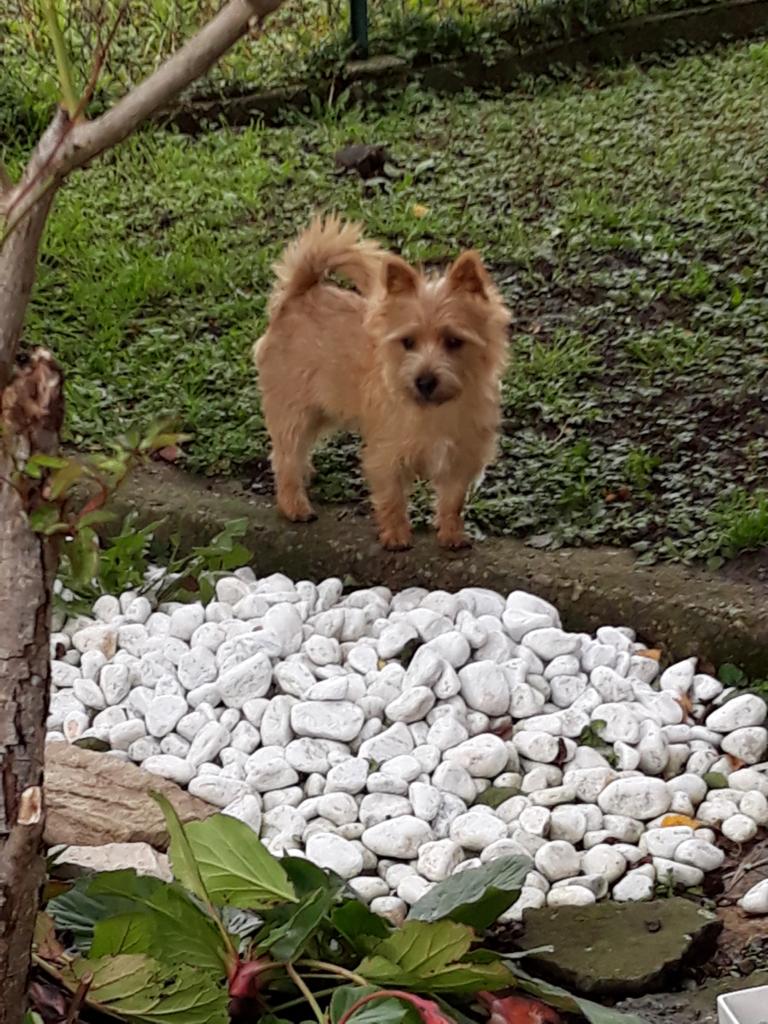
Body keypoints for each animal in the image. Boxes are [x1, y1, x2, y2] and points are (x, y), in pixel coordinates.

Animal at [256, 218, 514, 552]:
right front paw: (396, 536)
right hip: (294, 410)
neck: (434, 410)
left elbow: (452, 501)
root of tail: (298, 295)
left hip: (320, 411)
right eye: (408, 341)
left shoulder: (461, 457)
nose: (424, 380)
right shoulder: (386, 453)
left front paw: (452, 535)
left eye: (454, 341)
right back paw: (294, 504)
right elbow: (392, 497)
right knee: (285, 455)